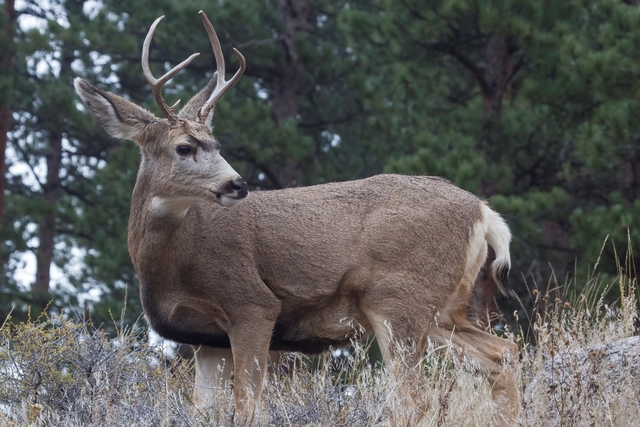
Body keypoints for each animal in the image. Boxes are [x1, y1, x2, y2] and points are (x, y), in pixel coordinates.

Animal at [74, 10, 520, 425]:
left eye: (216, 144)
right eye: (185, 147)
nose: (238, 184)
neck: (172, 265)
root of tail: (484, 212)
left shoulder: (252, 304)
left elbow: (247, 407)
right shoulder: (206, 340)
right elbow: (204, 411)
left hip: (398, 299)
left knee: (416, 399)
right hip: (442, 310)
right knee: (502, 352)